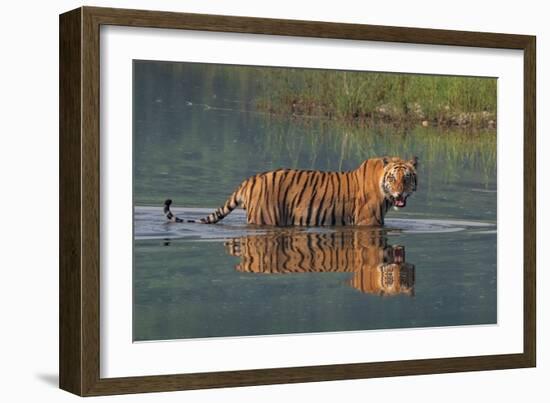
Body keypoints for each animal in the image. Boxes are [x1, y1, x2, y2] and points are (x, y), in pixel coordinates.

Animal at [164, 157, 418, 227]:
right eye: (393, 178)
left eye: (406, 178)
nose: (399, 194)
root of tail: (250, 180)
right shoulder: (368, 222)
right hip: (265, 218)